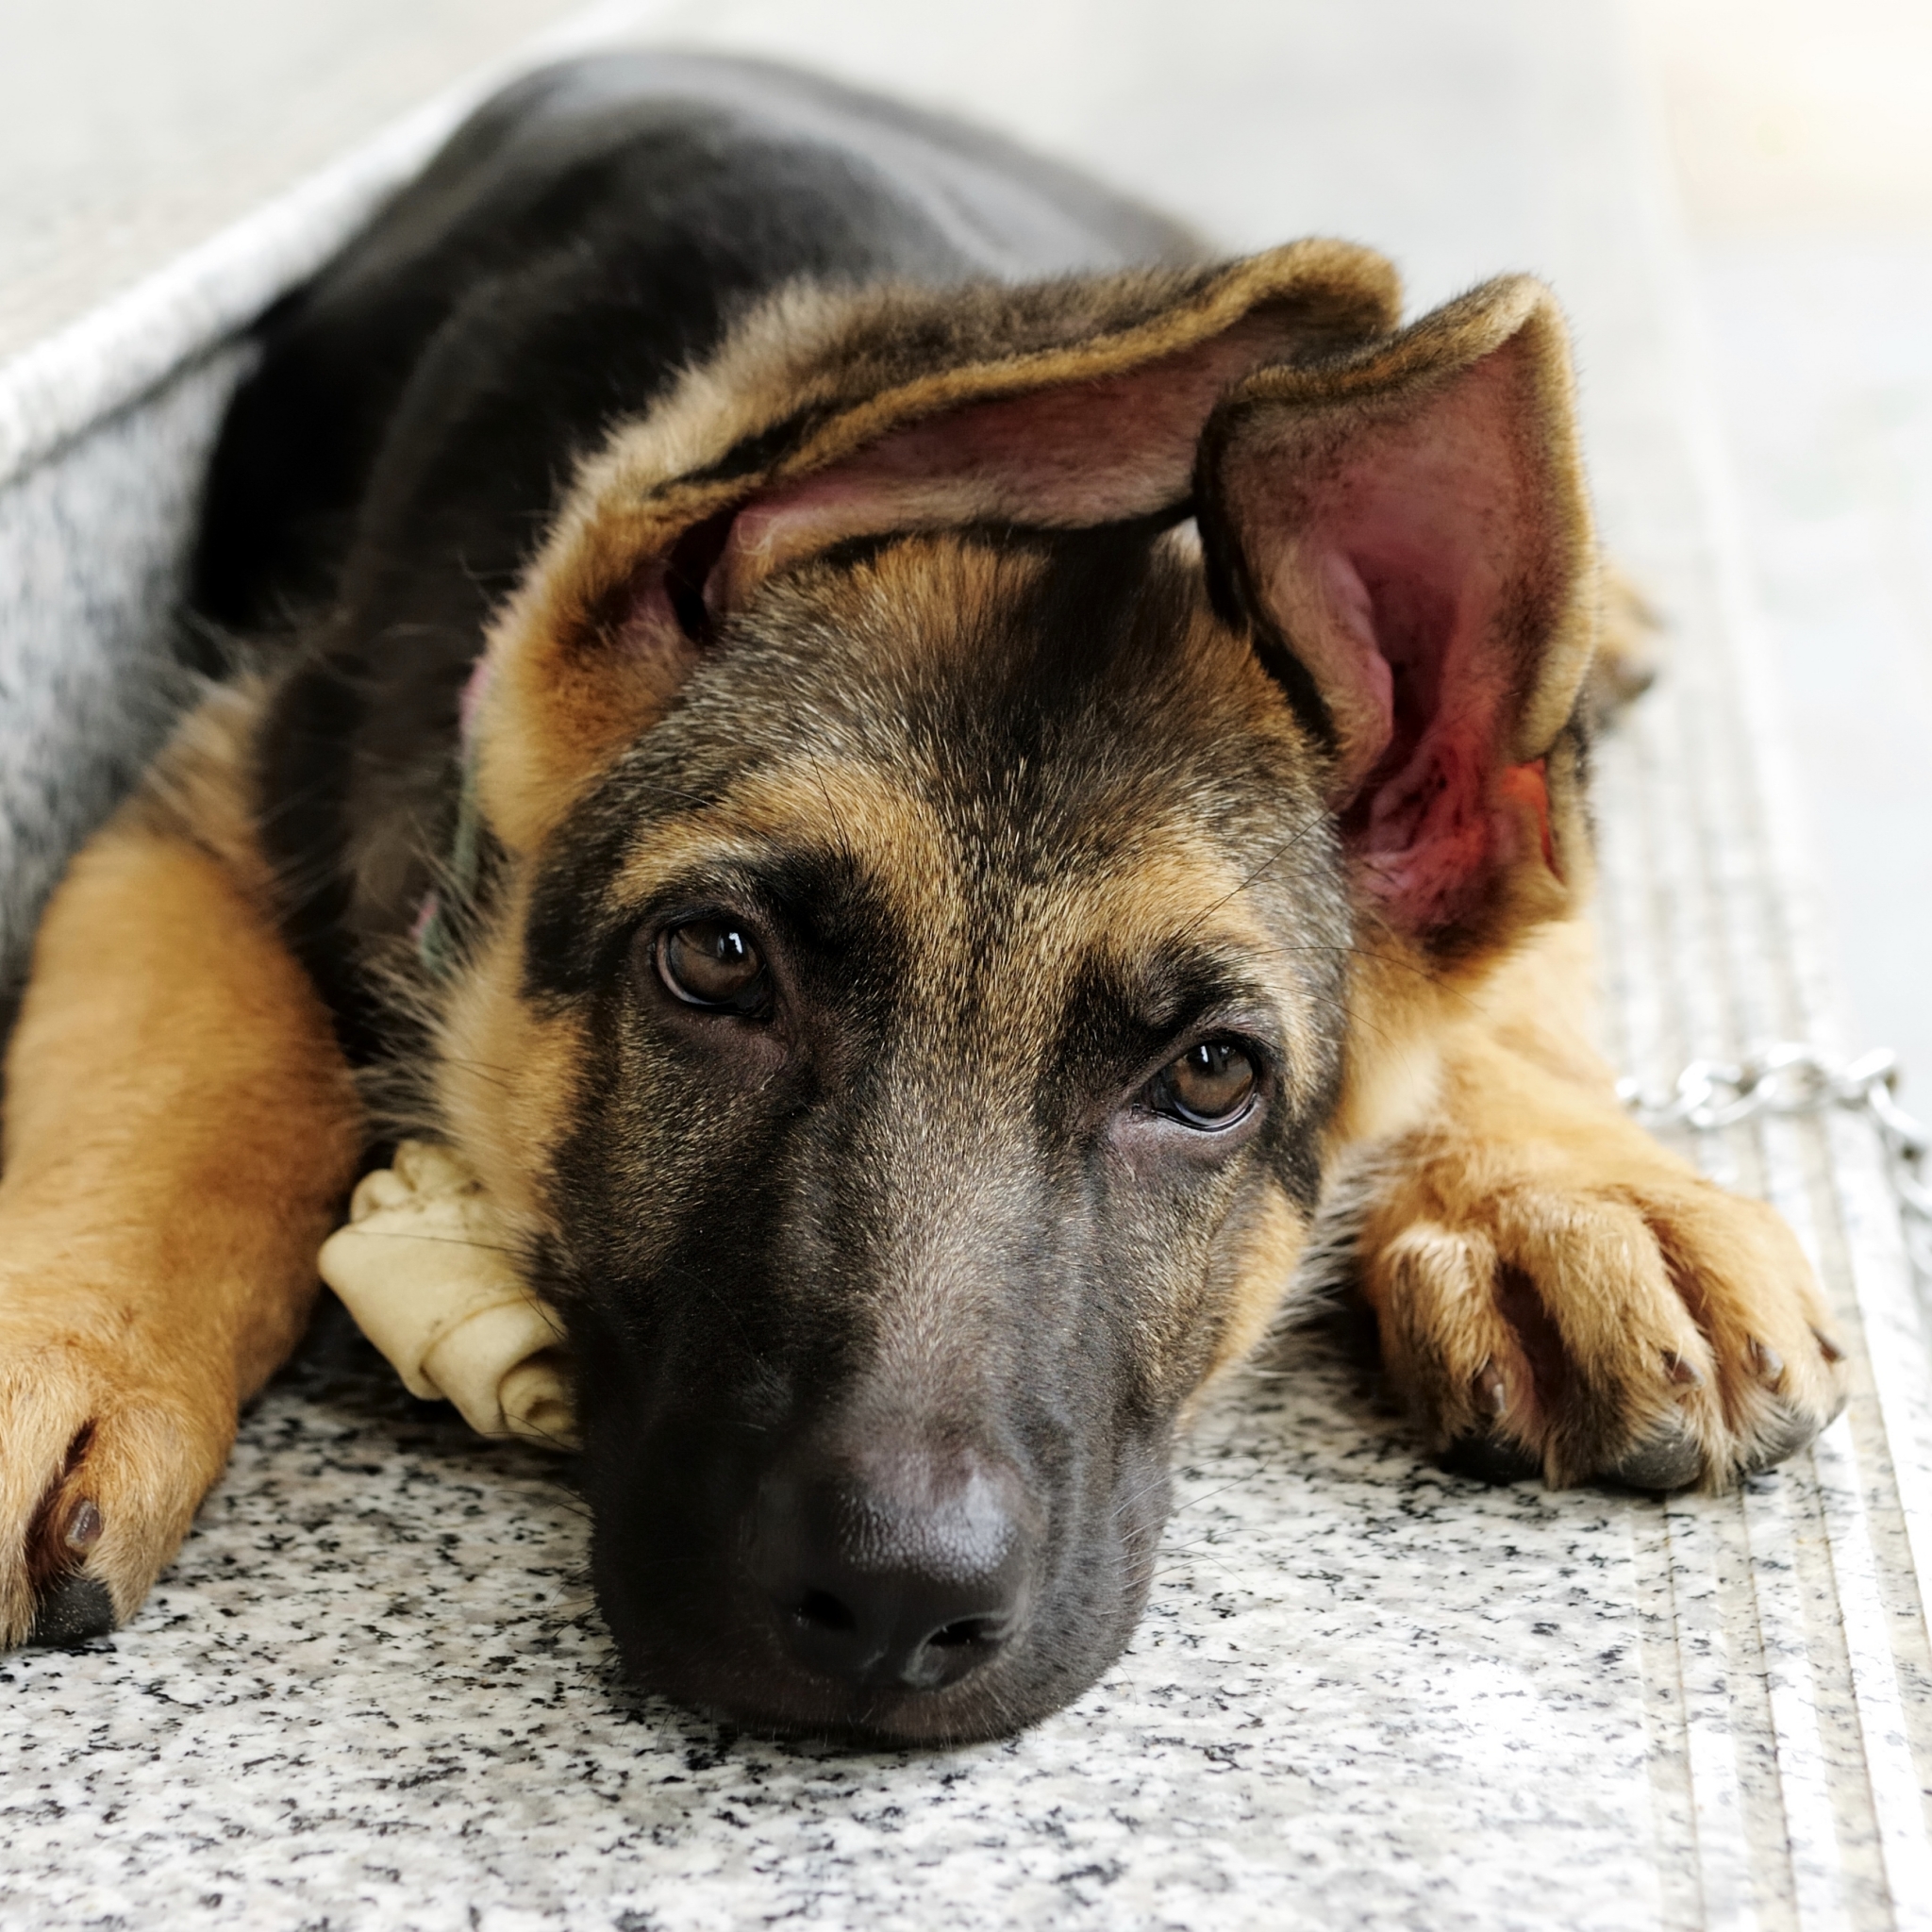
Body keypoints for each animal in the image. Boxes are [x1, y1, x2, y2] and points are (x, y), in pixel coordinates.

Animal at [0, 53, 1846, 1746]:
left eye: (1208, 1074)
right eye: (714, 960)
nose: (893, 1606)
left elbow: (1513, 969)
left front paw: (1570, 1194)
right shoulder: (212, 798)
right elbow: (182, 1076)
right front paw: (56, 1334)